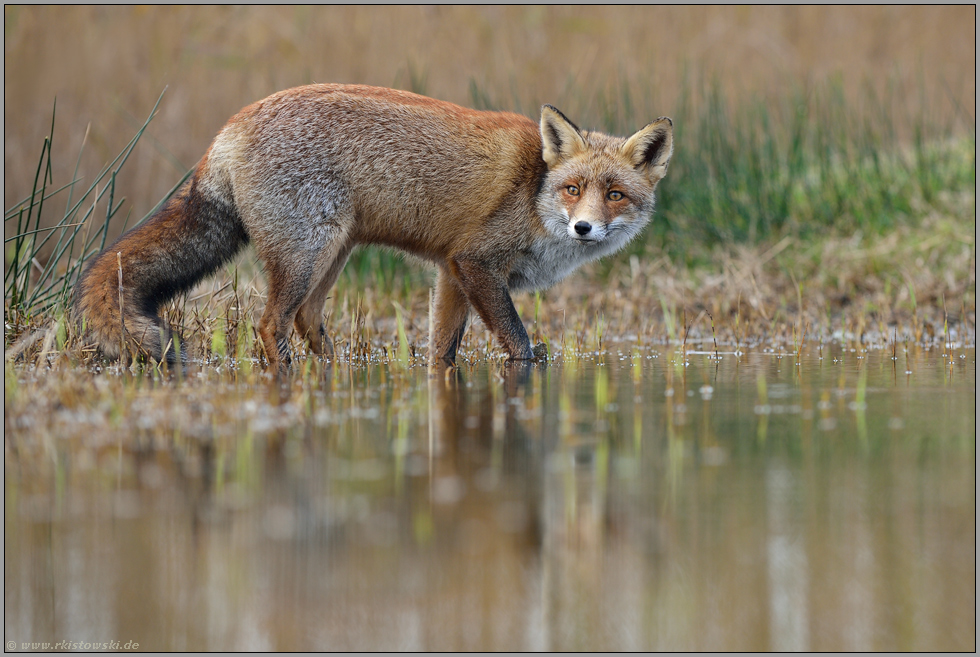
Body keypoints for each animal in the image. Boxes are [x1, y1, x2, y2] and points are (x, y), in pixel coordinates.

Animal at [73, 84, 673, 370]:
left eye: (615, 195)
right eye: (573, 189)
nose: (584, 229)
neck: (534, 194)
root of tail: (232, 125)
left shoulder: (451, 273)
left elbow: (442, 349)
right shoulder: (476, 263)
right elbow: (518, 342)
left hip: (332, 253)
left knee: (307, 321)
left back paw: (338, 373)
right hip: (305, 255)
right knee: (270, 325)